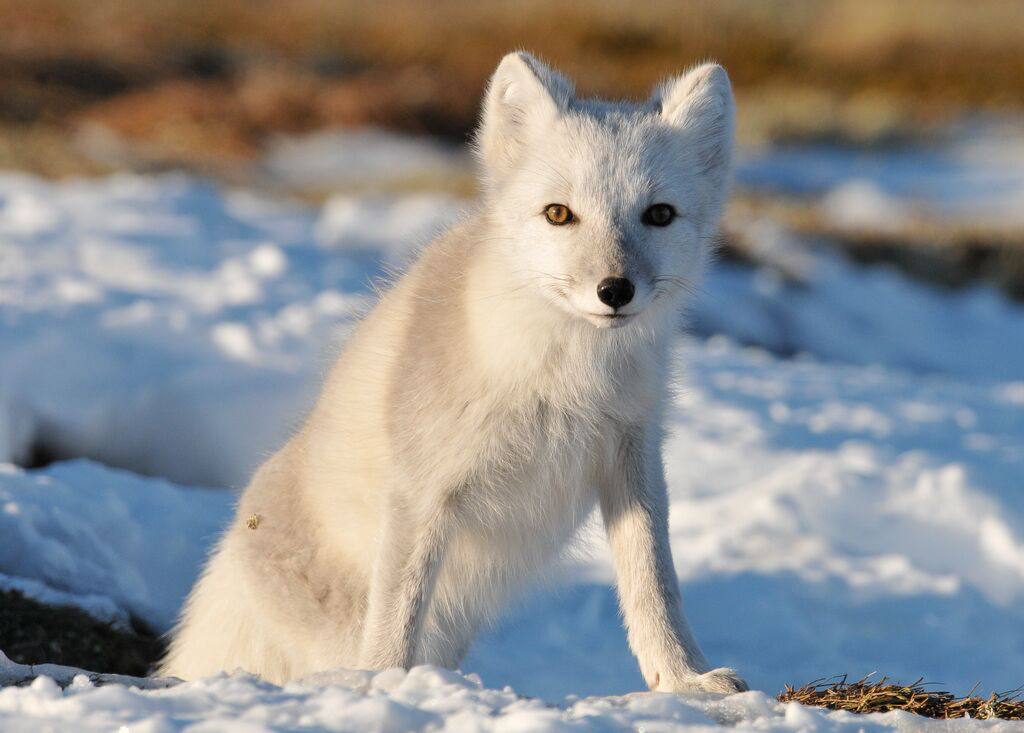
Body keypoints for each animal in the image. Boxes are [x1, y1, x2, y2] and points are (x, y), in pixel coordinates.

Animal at [163, 51, 749, 692]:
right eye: (559, 214)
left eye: (659, 214)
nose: (614, 291)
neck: (564, 379)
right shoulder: (422, 488)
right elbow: (397, 611)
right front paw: (383, 682)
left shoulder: (632, 459)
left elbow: (654, 586)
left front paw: (684, 680)